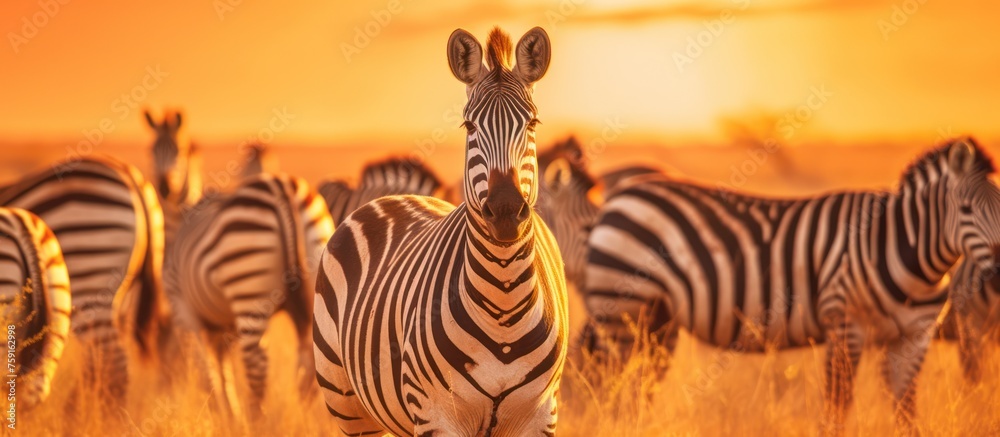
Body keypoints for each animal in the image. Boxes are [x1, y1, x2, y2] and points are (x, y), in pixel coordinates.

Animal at [164, 173, 333, 415]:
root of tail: (280, 185)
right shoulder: (223, 326)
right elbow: (223, 370)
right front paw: (229, 415)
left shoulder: (183, 311)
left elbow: (206, 370)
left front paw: (220, 414)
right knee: (310, 360)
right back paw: (302, 414)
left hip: (248, 286)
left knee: (256, 362)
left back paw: (257, 419)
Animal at [313, 27, 568, 436]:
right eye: (470, 126)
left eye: (532, 124)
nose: (505, 212)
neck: (504, 303)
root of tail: (396, 195)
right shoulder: (435, 413)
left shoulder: (540, 415)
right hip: (346, 400)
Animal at [583, 138, 1000, 433]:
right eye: (966, 210)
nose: (998, 271)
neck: (908, 254)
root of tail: (622, 193)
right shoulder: (845, 325)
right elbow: (837, 408)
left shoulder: (915, 337)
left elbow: (906, 413)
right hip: (623, 309)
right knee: (612, 390)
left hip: (658, 322)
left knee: (637, 390)